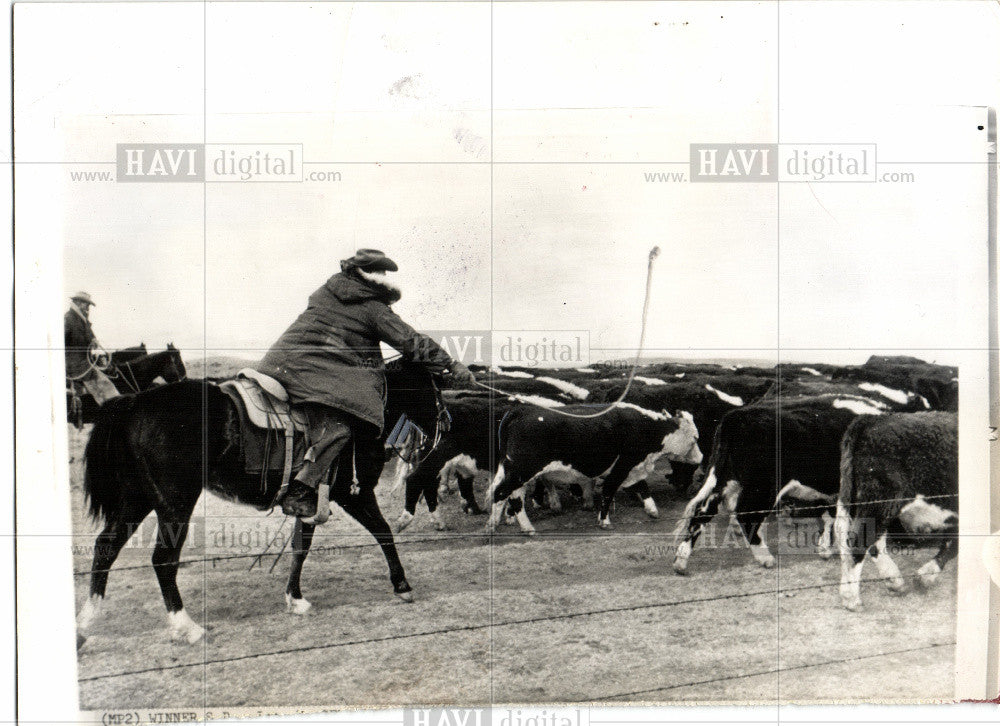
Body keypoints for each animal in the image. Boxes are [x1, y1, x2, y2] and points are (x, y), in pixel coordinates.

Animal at [82, 362, 446, 644]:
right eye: (434, 389)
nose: (444, 428)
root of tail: (135, 403)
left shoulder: (308, 502)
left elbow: (301, 547)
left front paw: (295, 599)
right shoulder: (353, 494)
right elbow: (383, 531)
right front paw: (402, 585)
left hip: (138, 499)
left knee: (105, 547)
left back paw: (85, 626)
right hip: (175, 503)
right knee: (163, 560)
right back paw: (187, 627)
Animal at [488, 404, 700, 536]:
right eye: (696, 438)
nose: (701, 457)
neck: (647, 427)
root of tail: (520, 409)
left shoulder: (632, 466)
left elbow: (642, 486)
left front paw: (652, 510)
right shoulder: (622, 466)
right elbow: (608, 492)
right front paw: (604, 521)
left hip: (516, 471)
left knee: (510, 495)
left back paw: (505, 523)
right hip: (523, 470)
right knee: (503, 493)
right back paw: (510, 527)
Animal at [832, 412, 956, 612]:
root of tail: (870, 419)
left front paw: (924, 576)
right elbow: (953, 544)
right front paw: (925, 577)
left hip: (855, 496)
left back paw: (894, 581)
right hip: (880, 499)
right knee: (860, 541)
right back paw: (852, 599)